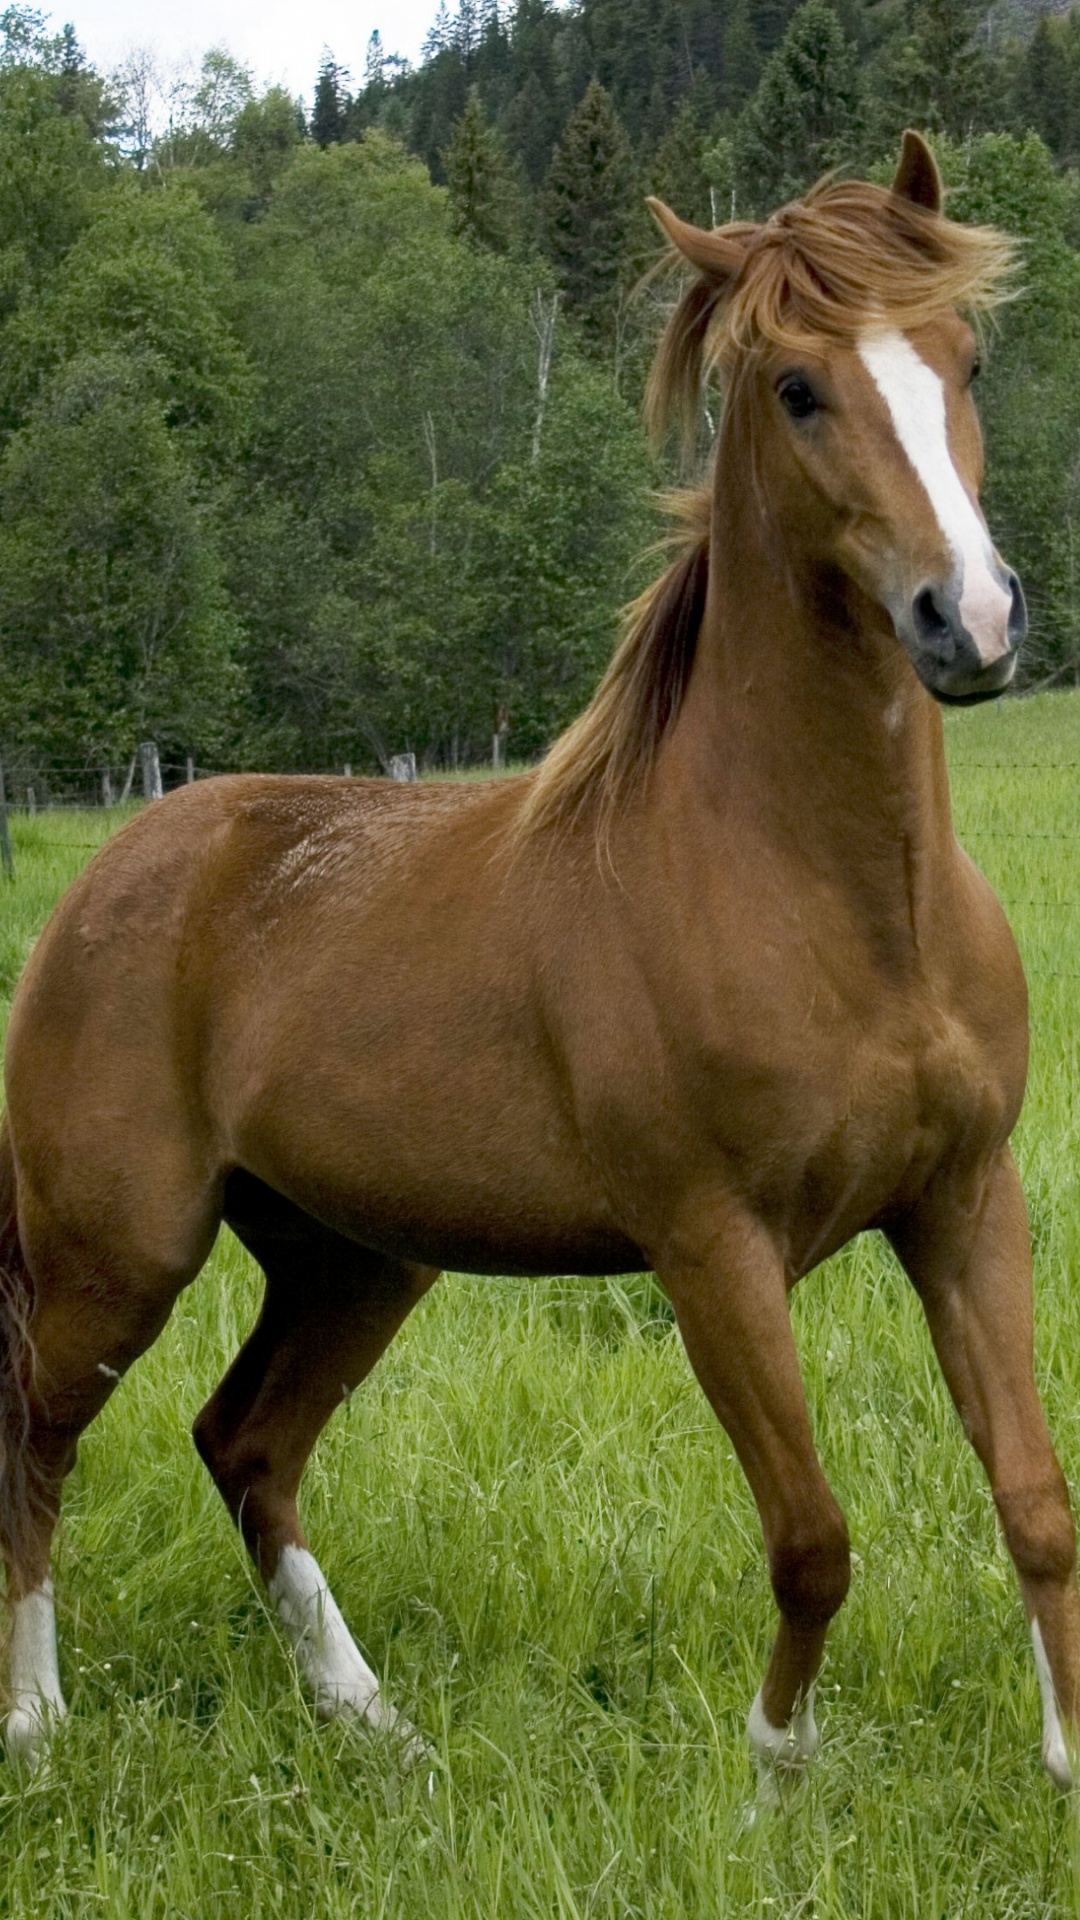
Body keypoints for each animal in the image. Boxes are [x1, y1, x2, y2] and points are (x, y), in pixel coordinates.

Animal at [2, 130, 1077, 1796]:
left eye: (970, 356)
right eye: (796, 387)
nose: (967, 620)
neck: (840, 907)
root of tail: (114, 874)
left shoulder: (964, 1202)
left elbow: (1034, 1501)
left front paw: (1066, 1765)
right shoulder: (714, 1250)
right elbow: (812, 1535)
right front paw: (774, 1772)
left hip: (351, 1259)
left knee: (245, 1444)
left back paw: (375, 1724)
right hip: (117, 1255)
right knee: (36, 1443)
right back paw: (38, 1724)